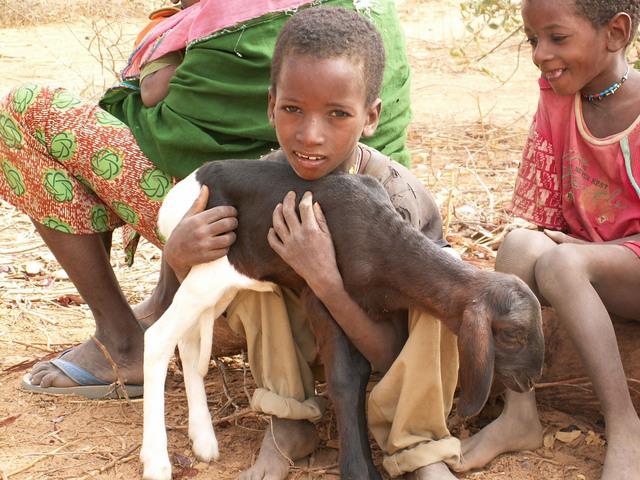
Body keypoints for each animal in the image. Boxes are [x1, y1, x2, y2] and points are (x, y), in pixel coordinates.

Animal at [139, 159, 540, 480]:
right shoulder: (320, 292)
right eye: (512, 334)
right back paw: (157, 461)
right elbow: (346, 378)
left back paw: (204, 441)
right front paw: (359, 470)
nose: (531, 377)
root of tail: (178, 194)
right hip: (211, 267)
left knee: (189, 346)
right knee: (158, 338)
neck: (381, 240)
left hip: (217, 280)